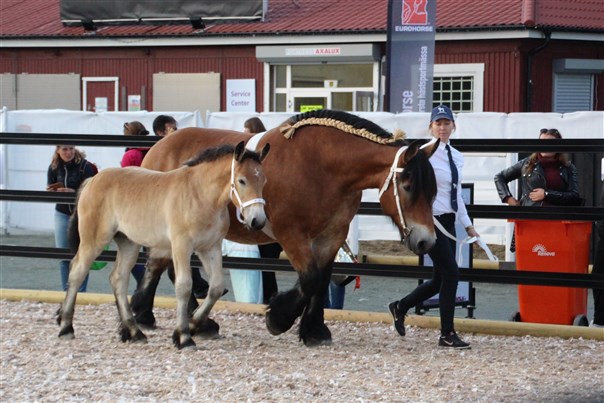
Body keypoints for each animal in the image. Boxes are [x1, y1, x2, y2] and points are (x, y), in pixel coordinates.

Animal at [56, 142, 268, 350]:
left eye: (263, 181)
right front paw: (184, 337)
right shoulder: (181, 246)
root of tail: (92, 180)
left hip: (128, 243)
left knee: (118, 279)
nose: (257, 221)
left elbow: (216, 287)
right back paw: (66, 327)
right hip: (94, 240)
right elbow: (184, 286)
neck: (199, 195)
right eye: (242, 180)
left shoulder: (210, 248)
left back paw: (134, 332)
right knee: (77, 271)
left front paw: (194, 325)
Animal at [132, 109, 436, 348]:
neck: (322, 167)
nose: (427, 241)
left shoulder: (331, 235)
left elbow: (322, 279)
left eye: (433, 191)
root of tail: (158, 148)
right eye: (408, 186)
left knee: (161, 265)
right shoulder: (291, 234)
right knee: (164, 266)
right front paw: (278, 317)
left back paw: (149, 314)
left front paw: (314, 330)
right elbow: (310, 278)